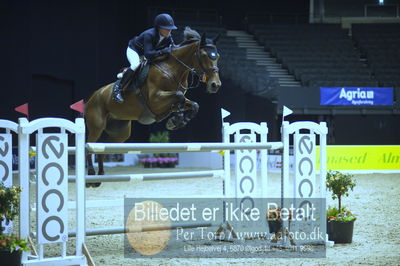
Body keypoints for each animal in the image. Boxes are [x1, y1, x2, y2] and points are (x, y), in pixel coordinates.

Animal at [85, 27, 222, 185]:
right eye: (204, 55)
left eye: (217, 56)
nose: (215, 85)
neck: (172, 70)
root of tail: (93, 97)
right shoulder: (155, 100)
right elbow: (179, 96)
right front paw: (175, 120)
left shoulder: (170, 102)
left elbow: (193, 105)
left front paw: (177, 121)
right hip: (97, 126)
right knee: (89, 146)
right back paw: (91, 175)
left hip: (120, 133)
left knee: (102, 149)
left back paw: (99, 176)